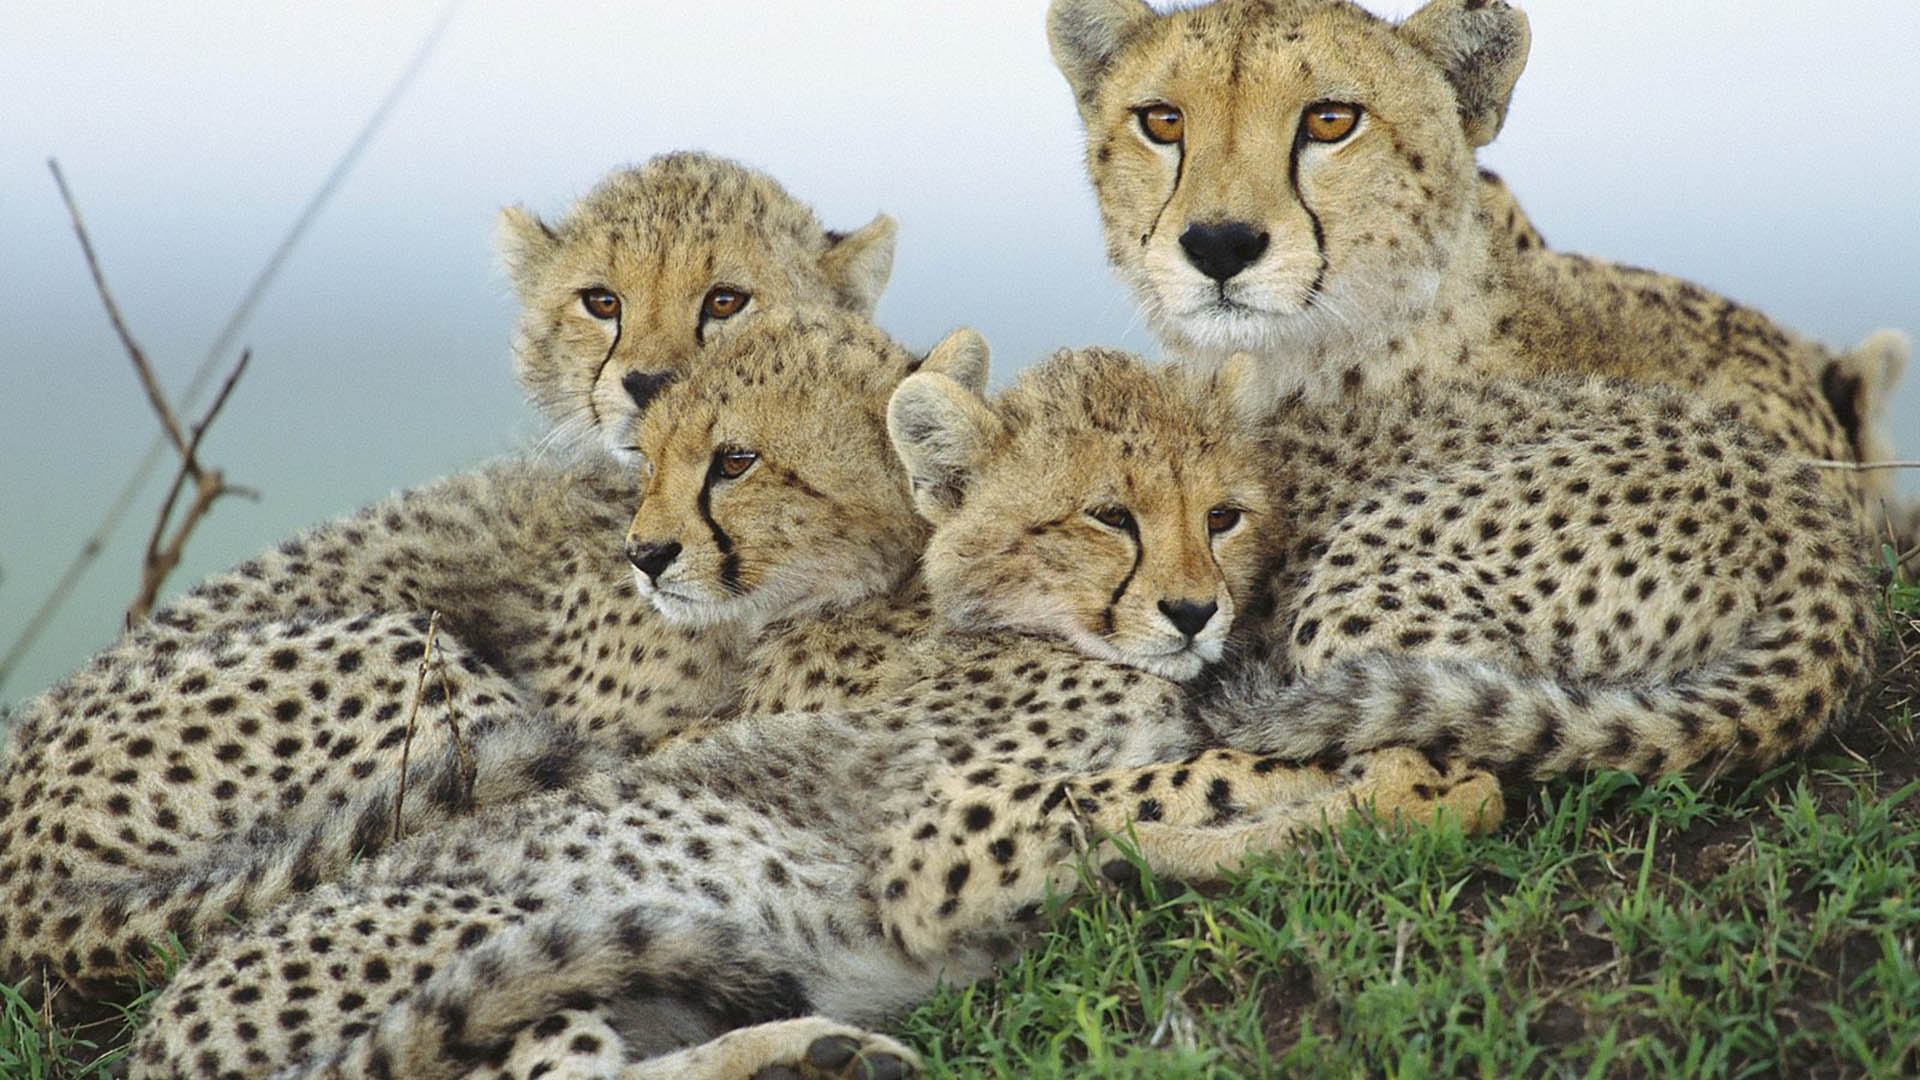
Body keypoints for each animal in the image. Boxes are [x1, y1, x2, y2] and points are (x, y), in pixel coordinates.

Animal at [128, 332, 1497, 1080]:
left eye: (1224, 514)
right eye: (1109, 515)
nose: (1196, 612)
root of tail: (160, 1024)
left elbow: (1163, 817)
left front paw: (1398, 792)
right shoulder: (937, 846)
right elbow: (1171, 783)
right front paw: (1406, 780)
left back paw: (822, 1051)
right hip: (493, 946)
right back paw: (808, 1052)